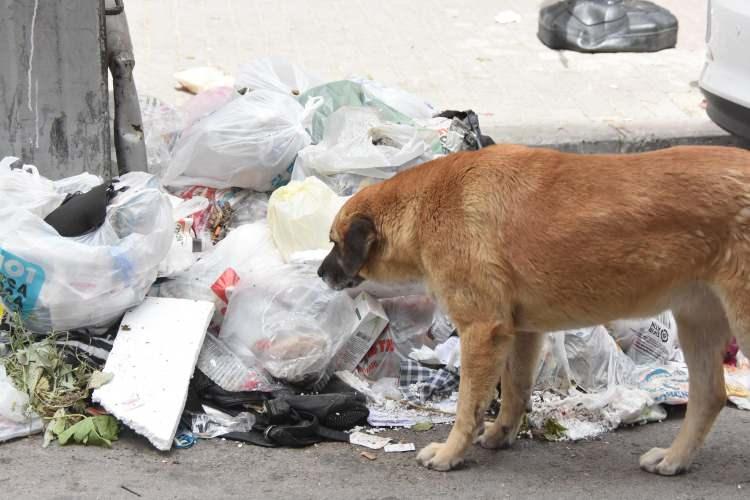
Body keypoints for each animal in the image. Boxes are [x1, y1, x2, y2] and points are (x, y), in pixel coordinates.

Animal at [320, 144, 750, 472]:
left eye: (335, 243)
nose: (321, 274)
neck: (424, 204)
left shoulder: (481, 329)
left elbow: (468, 405)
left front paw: (452, 452)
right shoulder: (522, 331)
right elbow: (515, 389)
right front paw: (501, 433)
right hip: (697, 320)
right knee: (710, 395)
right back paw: (674, 459)